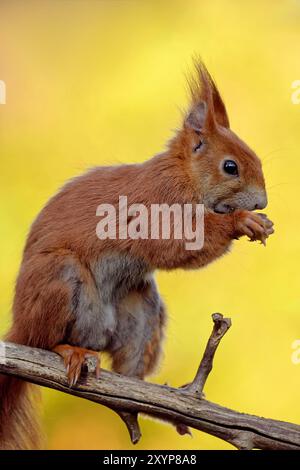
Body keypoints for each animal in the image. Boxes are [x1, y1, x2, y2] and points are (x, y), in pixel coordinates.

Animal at [0, 61, 274, 448]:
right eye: (230, 166)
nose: (261, 202)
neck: (184, 176)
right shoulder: (156, 206)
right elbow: (179, 245)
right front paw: (242, 222)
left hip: (141, 313)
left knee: (130, 375)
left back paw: (160, 402)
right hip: (59, 280)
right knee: (46, 341)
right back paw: (68, 351)